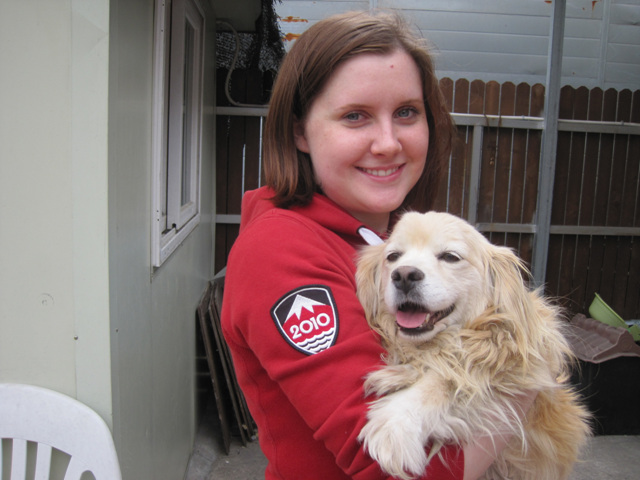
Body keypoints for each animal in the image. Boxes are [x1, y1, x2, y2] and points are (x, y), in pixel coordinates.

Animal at [356, 211, 591, 480]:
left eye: (450, 257)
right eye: (393, 257)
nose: (404, 275)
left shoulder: (513, 360)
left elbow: (453, 374)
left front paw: (396, 424)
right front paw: (402, 373)